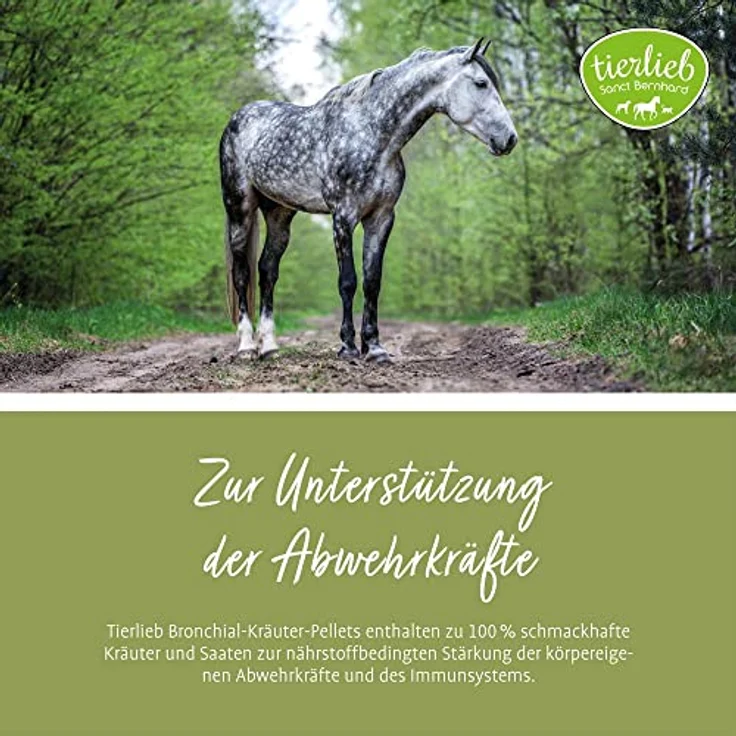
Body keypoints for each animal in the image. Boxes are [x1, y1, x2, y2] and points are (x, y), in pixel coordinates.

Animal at [219, 38, 517, 363]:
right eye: (481, 83)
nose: (509, 139)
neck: (372, 134)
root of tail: (239, 117)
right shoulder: (343, 217)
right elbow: (348, 281)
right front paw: (348, 346)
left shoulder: (381, 217)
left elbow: (372, 281)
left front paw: (374, 348)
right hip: (239, 209)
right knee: (241, 274)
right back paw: (247, 346)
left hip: (279, 214)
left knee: (267, 271)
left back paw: (270, 346)